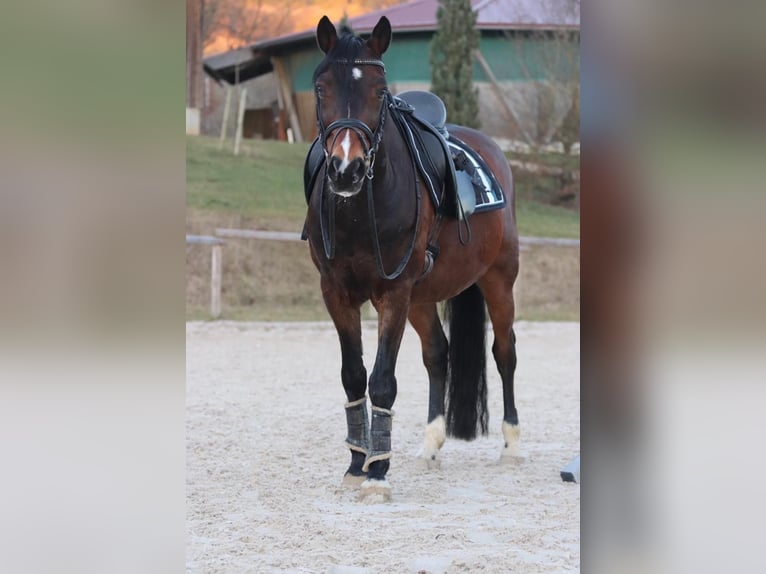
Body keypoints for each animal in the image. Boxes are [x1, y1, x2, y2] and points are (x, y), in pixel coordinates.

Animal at [304, 15, 520, 502]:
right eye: (321, 87)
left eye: (380, 90)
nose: (346, 169)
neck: (359, 207)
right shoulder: (336, 292)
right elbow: (353, 375)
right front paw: (357, 463)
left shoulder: (393, 292)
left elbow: (382, 380)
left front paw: (378, 474)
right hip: (423, 297)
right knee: (438, 354)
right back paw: (431, 444)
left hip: (498, 281)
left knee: (505, 352)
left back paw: (512, 444)